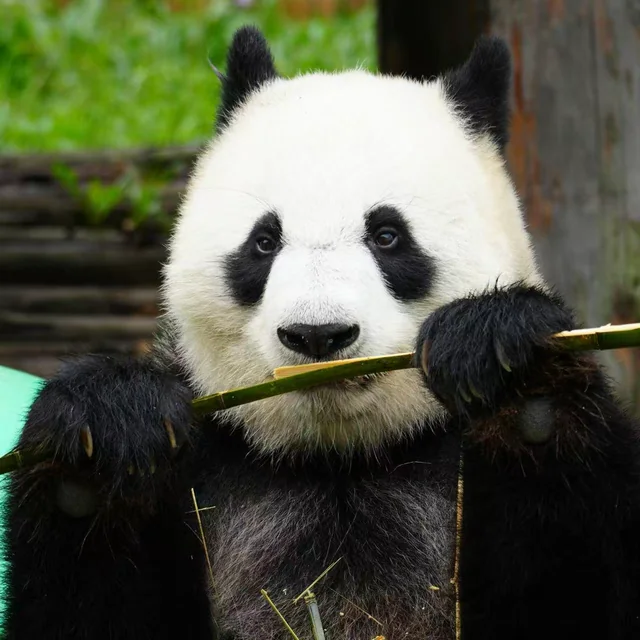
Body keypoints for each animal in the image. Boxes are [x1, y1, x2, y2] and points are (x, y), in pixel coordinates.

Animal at [3, 25, 640, 640]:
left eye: (387, 236)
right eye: (264, 242)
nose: (317, 335)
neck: (340, 460)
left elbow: (583, 588)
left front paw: (516, 379)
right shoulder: (211, 458)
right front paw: (103, 440)